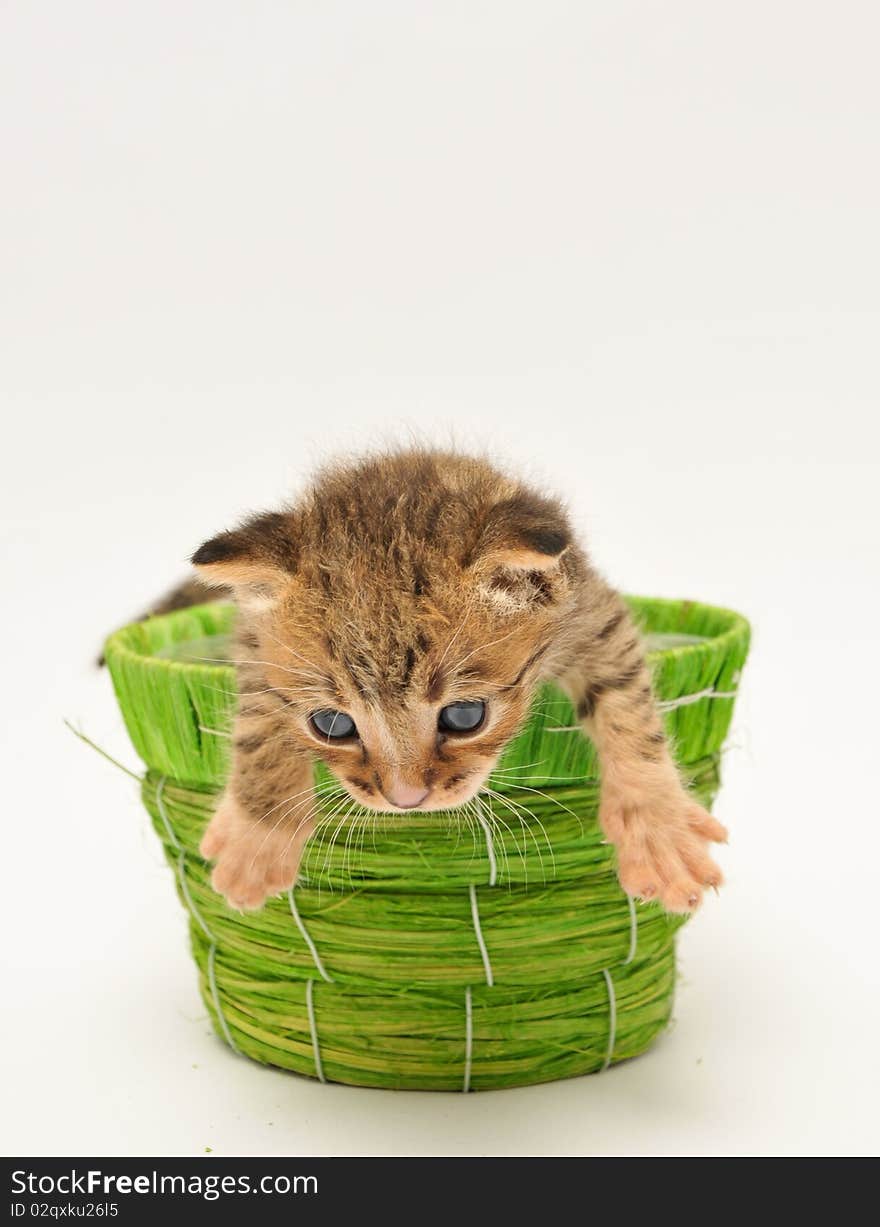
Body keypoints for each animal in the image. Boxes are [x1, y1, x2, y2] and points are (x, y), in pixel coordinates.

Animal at [193, 449, 726, 912]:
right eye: (331, 725)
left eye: (465, 716)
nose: (406, 800)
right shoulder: (252, 643)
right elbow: (258, 724)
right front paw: (258, 836)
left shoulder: (590, 617)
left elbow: (629, 709)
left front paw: (657, 832)